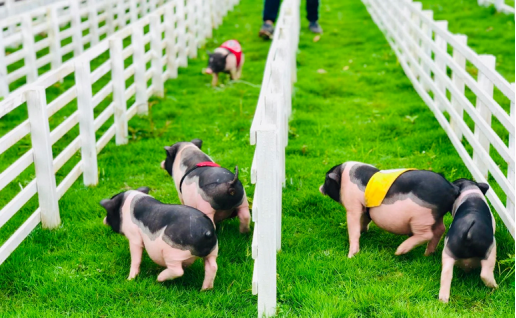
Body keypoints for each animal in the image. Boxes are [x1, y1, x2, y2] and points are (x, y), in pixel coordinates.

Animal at [318, 161, 460, 258]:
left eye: (326, 180)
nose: (320, 187)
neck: (343, 176)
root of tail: (451, 188)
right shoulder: (366, 208)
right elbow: (364, 220)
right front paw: (363, 231)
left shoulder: (353, 205)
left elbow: (353, 228)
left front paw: (351, 256)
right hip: (436, 216)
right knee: (440, 229)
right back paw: (427, 254)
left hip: (422, 217)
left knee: (427, 234)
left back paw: (399, 251)